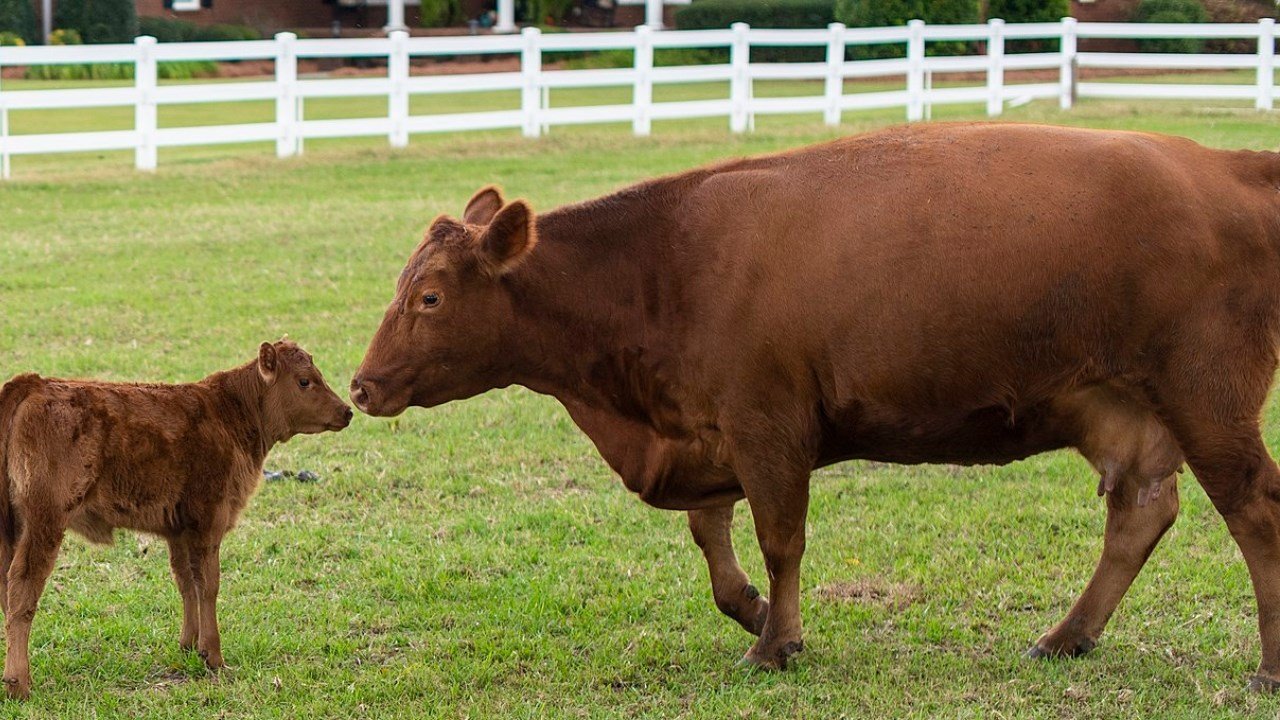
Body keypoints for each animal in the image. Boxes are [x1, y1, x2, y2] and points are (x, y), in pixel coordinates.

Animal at [0, 340, 352, 699]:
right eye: (305, 381)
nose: (347, 411)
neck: (230, 414)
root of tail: (33, 383)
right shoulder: (208, 520)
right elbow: (208, 584)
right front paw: (214, 655)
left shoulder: (179, 530)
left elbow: (187, 583)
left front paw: (189, 645)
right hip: (45, 521)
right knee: (22, 587)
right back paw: (19, 683)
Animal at [350, 122, 1280, 690]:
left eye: (430, 297)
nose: (360, 385)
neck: (663, 264)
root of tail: (1222, 165)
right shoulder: (711, 432)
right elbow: (714, 543)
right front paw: (754, 612)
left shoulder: (767, 426)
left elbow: (780, 540)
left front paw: (777, 643)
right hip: (1124, 408)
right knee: (1141, 513)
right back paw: (1067, 635)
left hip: (1208, 399)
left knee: (1255, 512)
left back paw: (1267, 665)